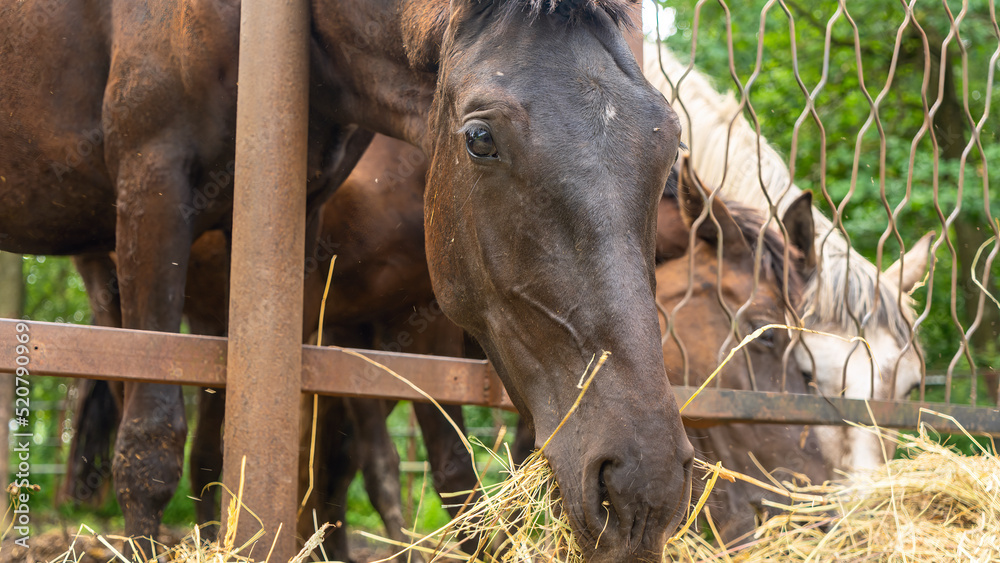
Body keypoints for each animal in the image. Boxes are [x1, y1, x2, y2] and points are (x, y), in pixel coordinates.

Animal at [1, 1, 693, 558]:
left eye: (668, 146)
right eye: (479, 138)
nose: (644, 486)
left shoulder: (297, 226)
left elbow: (311, 448)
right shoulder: (154, 185)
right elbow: (149, 447)